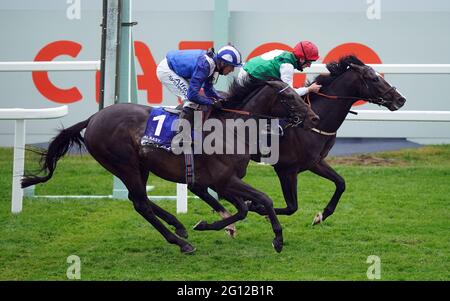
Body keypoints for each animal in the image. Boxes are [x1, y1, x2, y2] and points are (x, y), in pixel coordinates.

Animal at [21, 78, 316, 252]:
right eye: (289, 97)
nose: (313, 117)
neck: (231, 128)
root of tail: (93, 118)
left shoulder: (223, 181)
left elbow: (243, 208)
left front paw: (207, 225)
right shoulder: (224, 179)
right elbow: (263, 199)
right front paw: (278, 238)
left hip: (139, 166)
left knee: (138, 198)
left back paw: (179, 227)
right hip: (124, 164)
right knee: (140, 203)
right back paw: (181, 243)